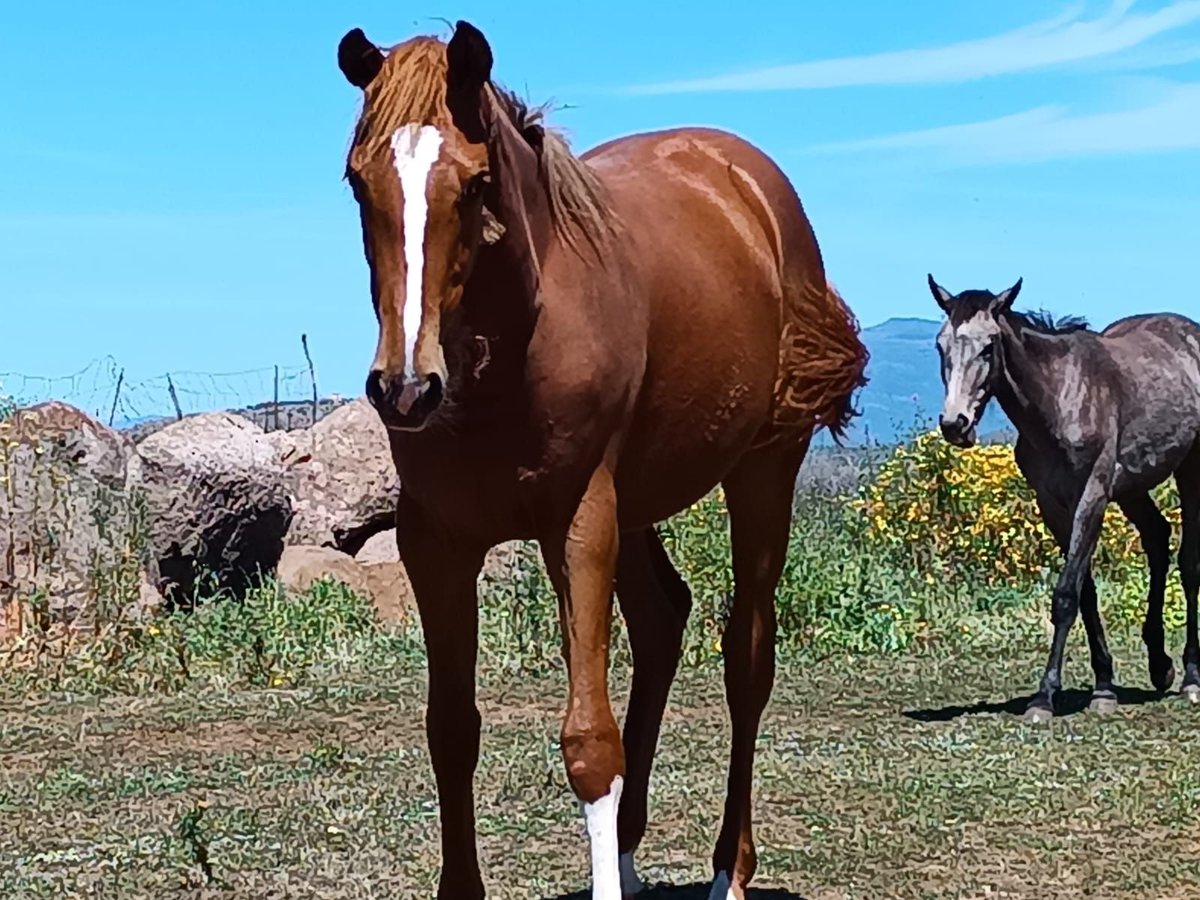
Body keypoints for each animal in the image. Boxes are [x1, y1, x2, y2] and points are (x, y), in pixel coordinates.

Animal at [333, 21, 868, 900]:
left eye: (476, 184)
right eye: (357, 181)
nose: (406, 388)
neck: (506, 363)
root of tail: (746, 182)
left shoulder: (579, 521)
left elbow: (589, 742)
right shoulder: (434, 542)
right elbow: (451, 729)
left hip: (762, 472)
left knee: (747, 658)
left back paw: (730, 869)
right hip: (639, 502)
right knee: (662, 621)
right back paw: (630, 851)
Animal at [931, 274, 1200, 724]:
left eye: (988, 346)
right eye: (941, 346)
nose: (955, 424)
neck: (1058, 398)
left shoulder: (1092, 495)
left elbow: (1065, 595)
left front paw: (1043, 697)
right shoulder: (1053, 505)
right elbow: (1084, 592)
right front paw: (1104, 686)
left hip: (1190, 471)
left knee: (1189, 562)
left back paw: (1191, 678)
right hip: (1133, 487)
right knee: (1158, 538)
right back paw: (1160, 664)